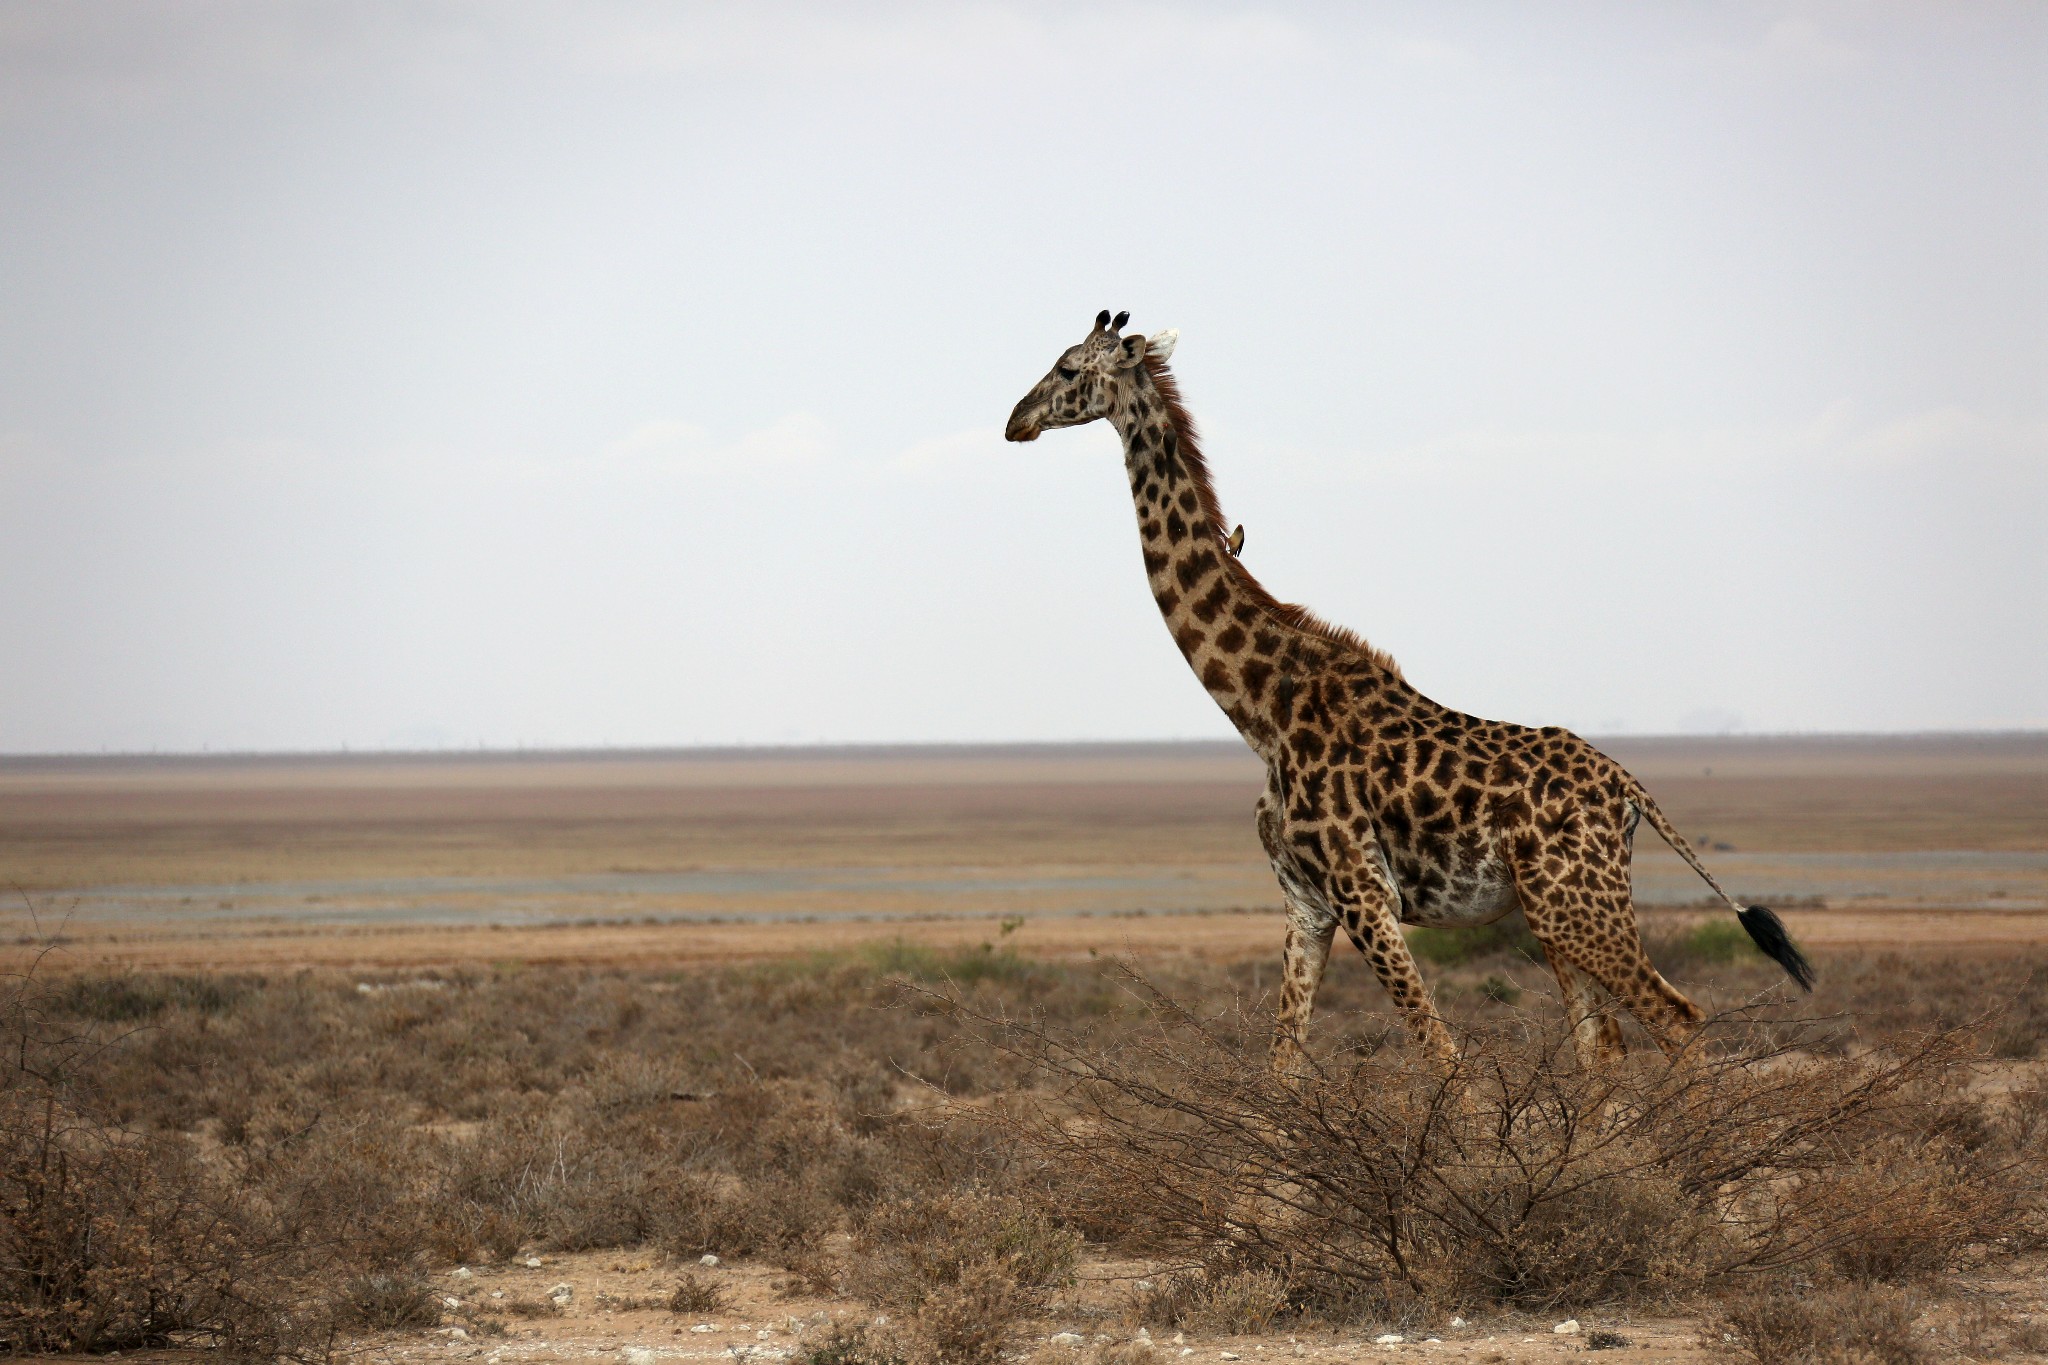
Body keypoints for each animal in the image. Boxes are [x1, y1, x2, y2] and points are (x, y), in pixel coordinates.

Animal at [999, 315, 1818, 1072]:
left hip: (1578, 903)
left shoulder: (1366, 894)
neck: (1262, 709)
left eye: (1068, 367)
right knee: (1604, 1046)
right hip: (1555, 909)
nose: (1015, 419)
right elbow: (1281, 1068)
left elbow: (1443, 1056)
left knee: (1678, 1019)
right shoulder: (1308, 903)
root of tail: (1628, 786)